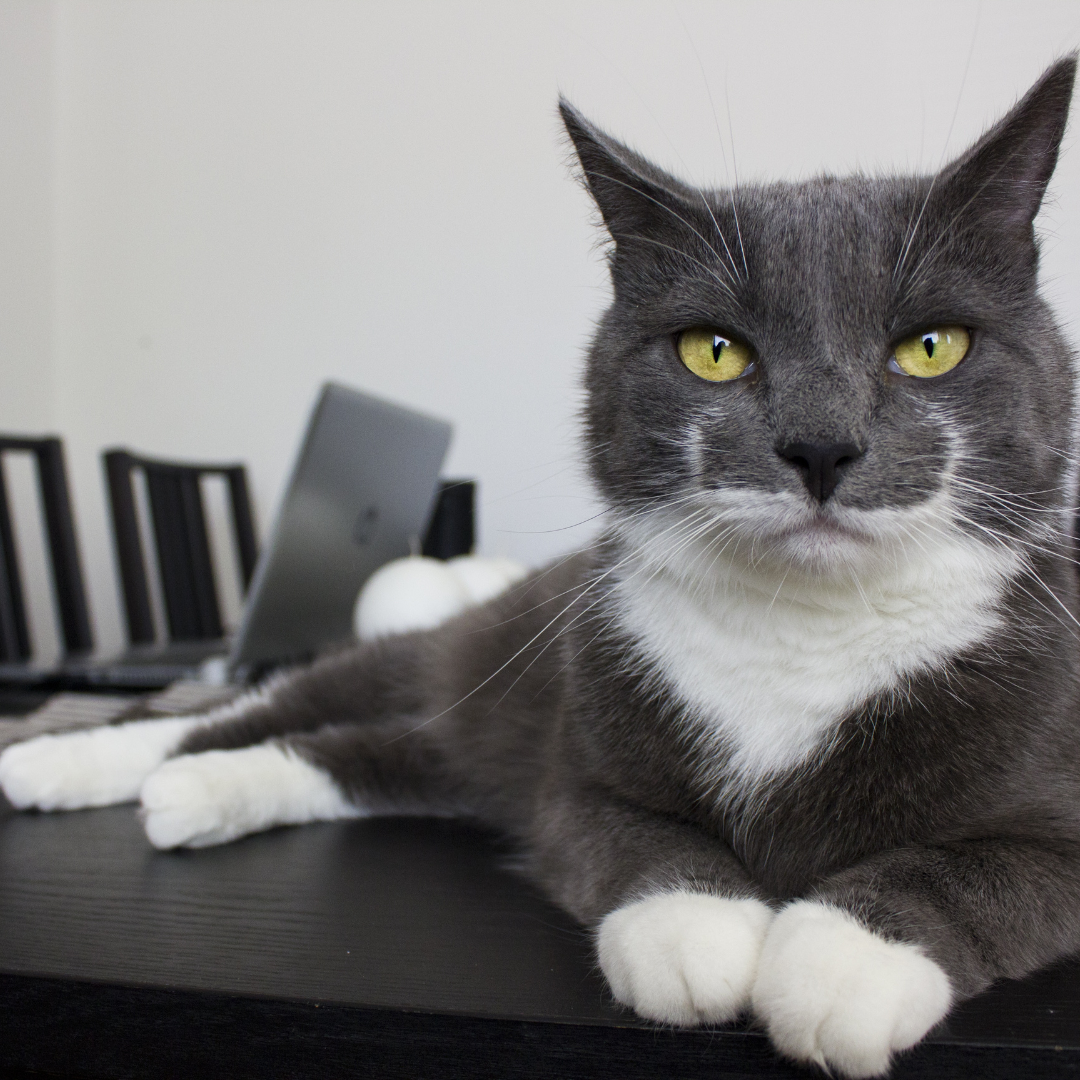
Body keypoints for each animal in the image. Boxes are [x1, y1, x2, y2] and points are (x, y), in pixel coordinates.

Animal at [2, 56, 1080, 1080]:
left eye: (932, 346)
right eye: (715, 351)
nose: (820, 446)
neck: (806, 628)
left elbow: (966, 869)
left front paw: (842, 960)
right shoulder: (578, 763)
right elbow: (630, 831)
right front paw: (695, 928)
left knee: (361, 749)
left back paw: (194, 795)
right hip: (469, 652)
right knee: (259, 706)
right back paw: (61, 763)